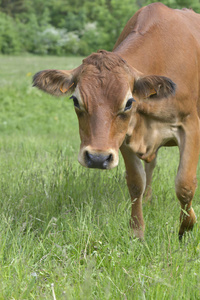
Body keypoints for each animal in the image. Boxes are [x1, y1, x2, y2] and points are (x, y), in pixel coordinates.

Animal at [32, 2, 200, 239]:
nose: (96, 158)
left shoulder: (190, 125)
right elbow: (136, 182)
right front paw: (137, 231)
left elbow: (185, 184)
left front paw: (186, 227)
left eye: (128, 102)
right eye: (75, 100)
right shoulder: (123, 137)